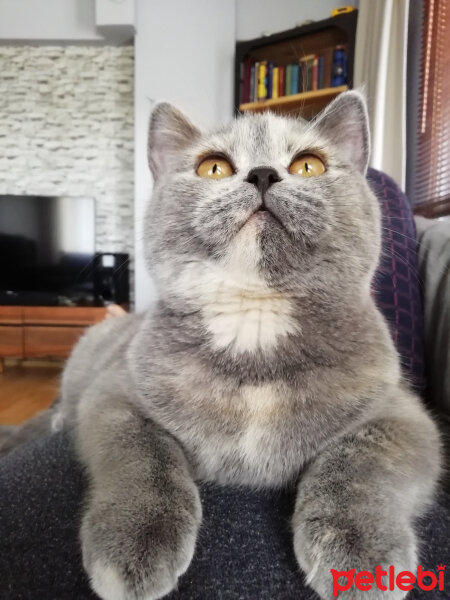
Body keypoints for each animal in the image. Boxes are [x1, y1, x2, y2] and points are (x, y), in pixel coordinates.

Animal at [0, 90, 442, 600]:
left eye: (309, 164)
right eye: (213, 167)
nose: (263, 173)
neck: (254, 322)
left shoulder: (402, 414)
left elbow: (359, 463)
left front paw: (358, 551)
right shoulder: (114, 393)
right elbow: (143, 454)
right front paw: (137, 541)